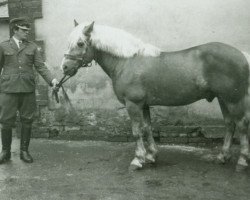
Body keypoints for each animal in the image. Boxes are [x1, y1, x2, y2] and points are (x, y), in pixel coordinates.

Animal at [60, 20, 250, 172]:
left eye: (80, 43)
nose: (65, 67)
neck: (127, 62)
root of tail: (242, 55)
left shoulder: (133, 104)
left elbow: (136, 131)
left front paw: (137, 160)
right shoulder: (143, 104)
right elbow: (147, 128)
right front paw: (151, 156)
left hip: (233, 100)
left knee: (241, 125)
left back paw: (242, 162)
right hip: (223, 99)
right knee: (230, 124)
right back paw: (222, 157)